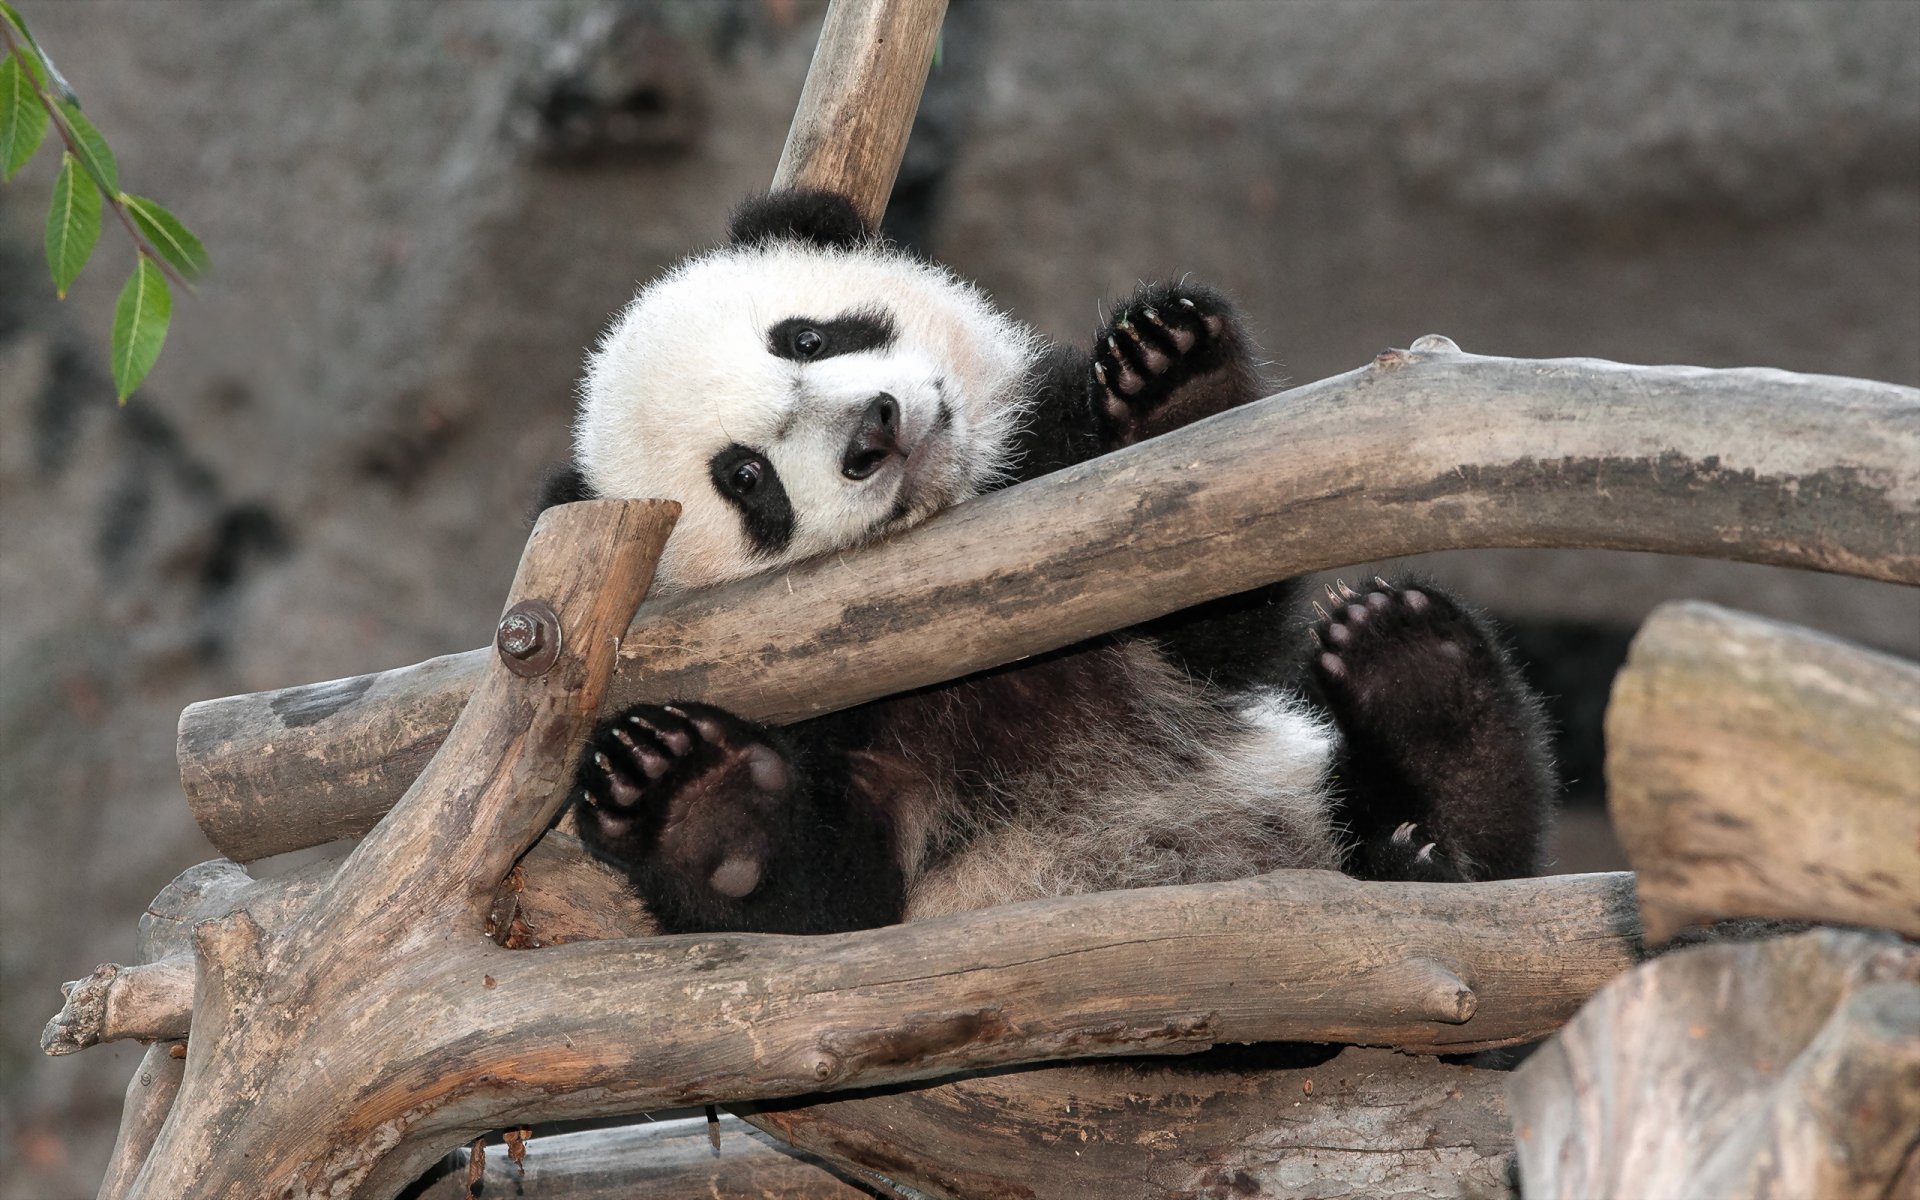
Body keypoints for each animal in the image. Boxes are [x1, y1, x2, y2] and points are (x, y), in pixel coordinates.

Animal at [537, 189, 1557, 935]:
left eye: (807, 337)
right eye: (746, 479)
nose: (874, 431)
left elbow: (1212, 610)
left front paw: (1174, 387)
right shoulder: (816, 699)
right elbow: (827, 901)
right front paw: (687, 791)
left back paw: (1423, 687)